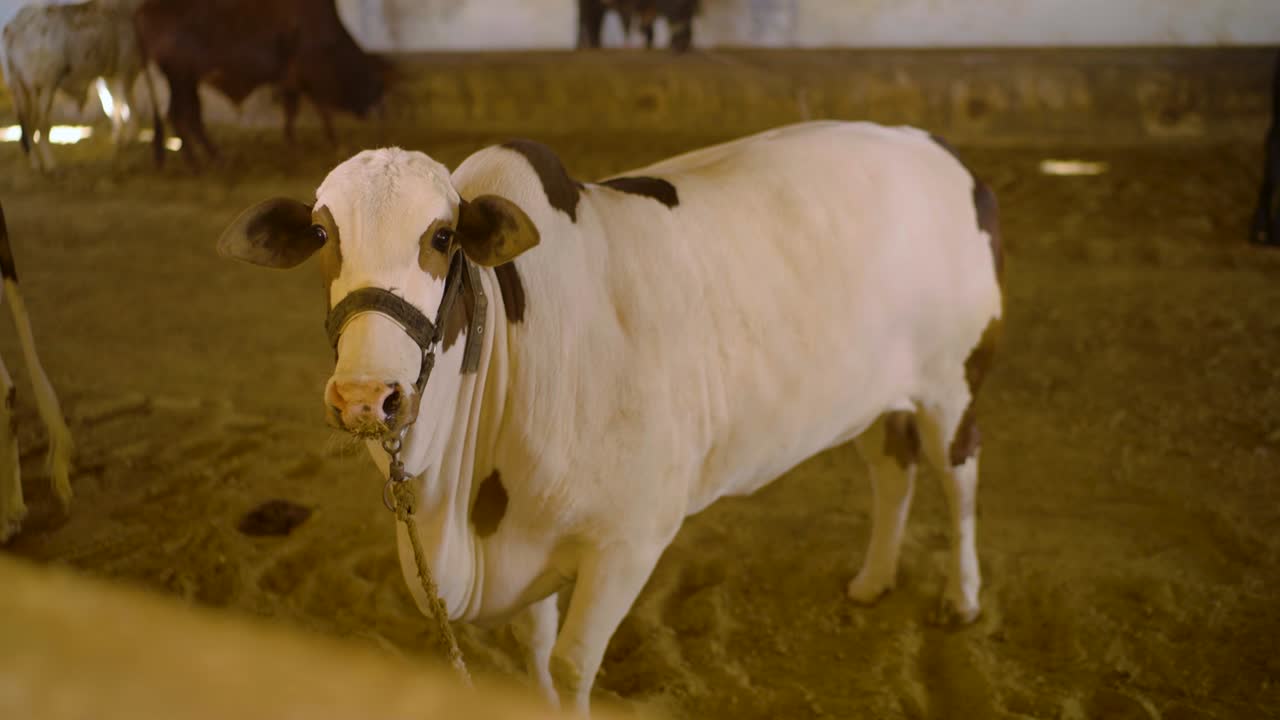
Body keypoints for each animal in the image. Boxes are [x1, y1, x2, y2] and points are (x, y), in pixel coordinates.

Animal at [1, 0, 154, 172]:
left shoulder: (110, 73)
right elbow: (128, 103)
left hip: (19, 88)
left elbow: (114, 105)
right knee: (41, 124)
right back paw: (50, 165)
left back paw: (36, 164)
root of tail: (13, 28)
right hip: (44, 85)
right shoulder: (126, 67)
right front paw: (130, 137)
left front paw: (119, 138)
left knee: (28, 124)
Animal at [134, 0, 389, 169]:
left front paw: (294, 141)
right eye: (373, 85)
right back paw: (199, 162)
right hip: (180, 79)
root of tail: (145, 9)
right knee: (180, 116)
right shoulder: (304, 76)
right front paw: (328, 142)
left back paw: (211, 158)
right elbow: (317, 110)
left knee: (189, 118)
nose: (380, 111)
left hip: (186, 82)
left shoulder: (292, 80)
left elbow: (296, 111)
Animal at [215, 120, 1004, 714]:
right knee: (891, 468)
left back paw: (961, 597)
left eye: (441, 237)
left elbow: (570, 666)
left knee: (959, 478)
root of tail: (937, 149)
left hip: (953, 380)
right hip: (875, 396)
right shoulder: (524, 538)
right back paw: (874, 579)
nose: (365, 397)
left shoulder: (631, 539)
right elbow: (535, 651)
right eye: (323, 236)